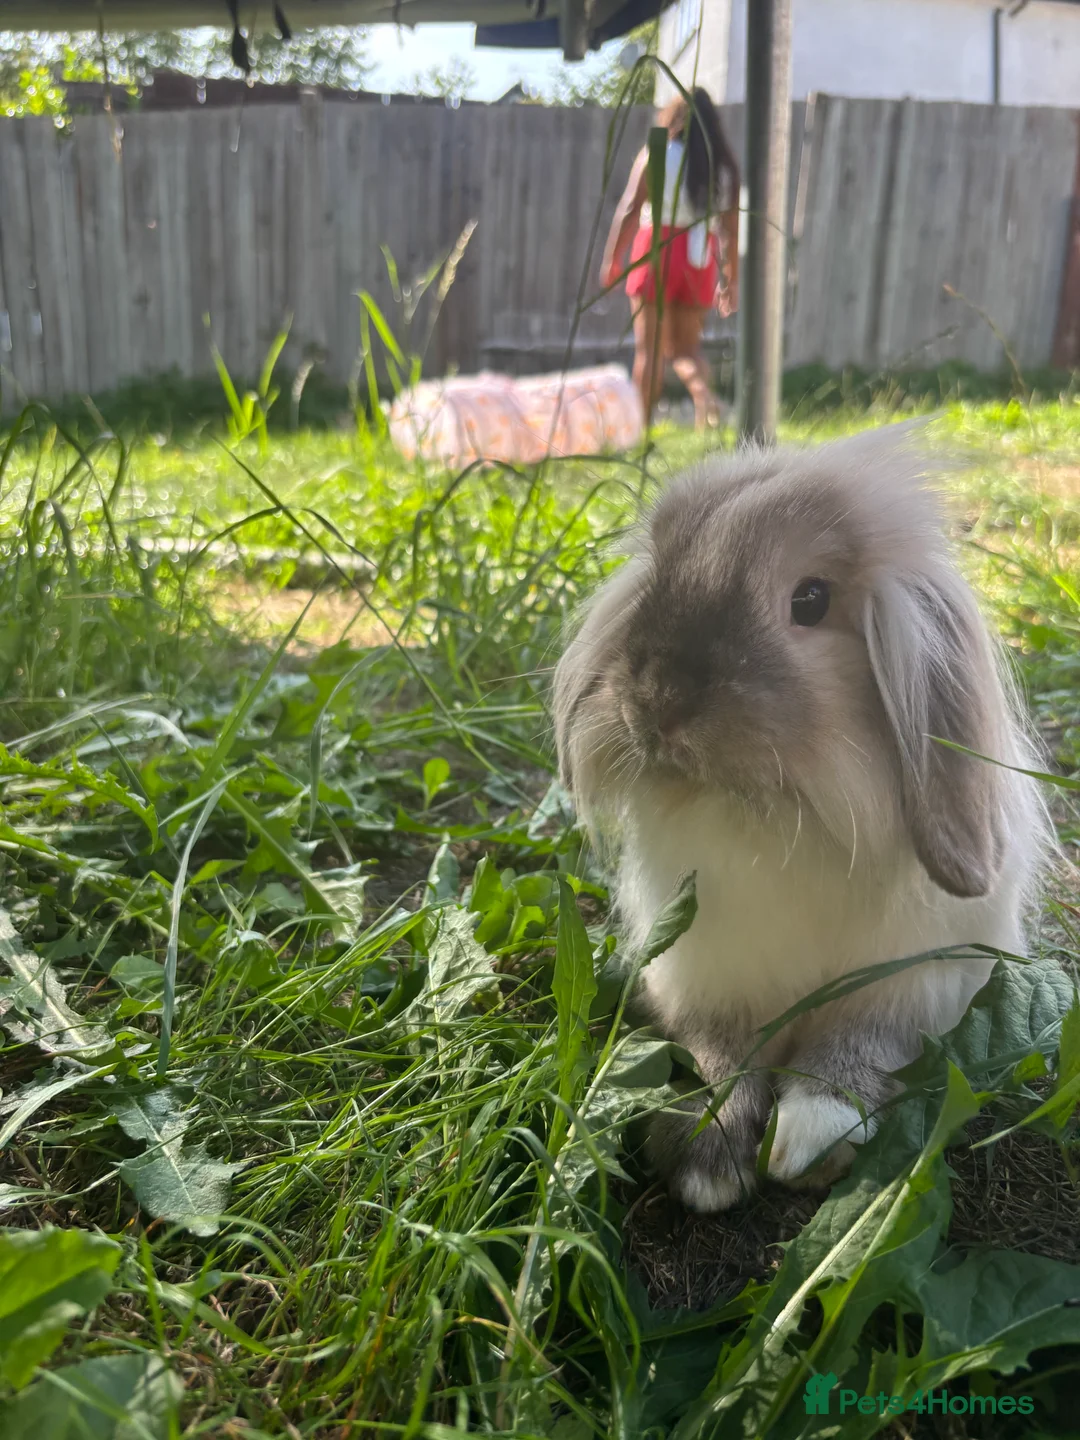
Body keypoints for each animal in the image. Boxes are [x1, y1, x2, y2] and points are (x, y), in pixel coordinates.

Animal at [553, 426, 1048, 1212]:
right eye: (662, 570)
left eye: (810, 600)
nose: (655, 703)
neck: (789, 819)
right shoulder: (706, 982)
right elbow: (720, 1056)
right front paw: (707, 1159)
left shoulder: (909, 987)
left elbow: (856, 1046)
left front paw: (813, 1134)